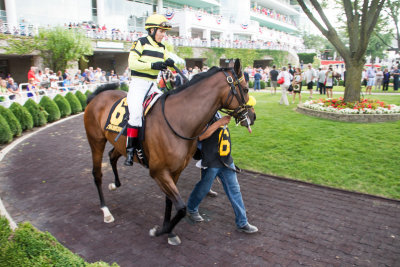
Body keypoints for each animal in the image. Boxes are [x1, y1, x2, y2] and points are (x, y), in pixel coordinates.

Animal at [84, 59, 256, 247]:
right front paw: (160, 230)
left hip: (119, 143)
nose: (253, 116)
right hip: (96, 141)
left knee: (112, 156)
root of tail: (97, 96)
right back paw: (106, 210)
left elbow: (170, 201)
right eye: (246, 89)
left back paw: (115, 183)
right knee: (97, 173)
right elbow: (181, 207)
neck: (178, 120)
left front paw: (170, 232)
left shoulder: (175, 171)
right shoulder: (158, 172)